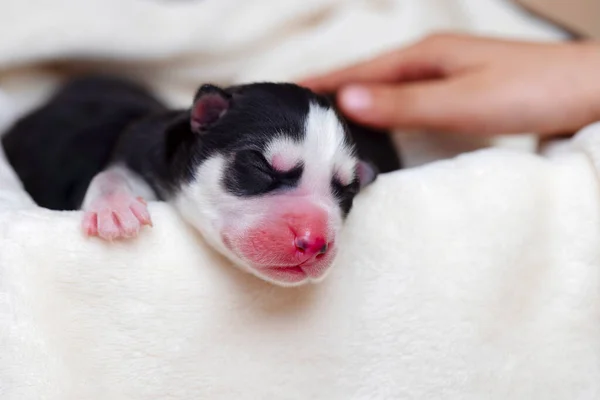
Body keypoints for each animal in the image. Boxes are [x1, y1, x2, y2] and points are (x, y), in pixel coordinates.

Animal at [2, 75, 404, 286]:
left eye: (347, 190)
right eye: (261, 166)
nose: (316, 241)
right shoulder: (136, 147)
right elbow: (111, 173)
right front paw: (115, 208)